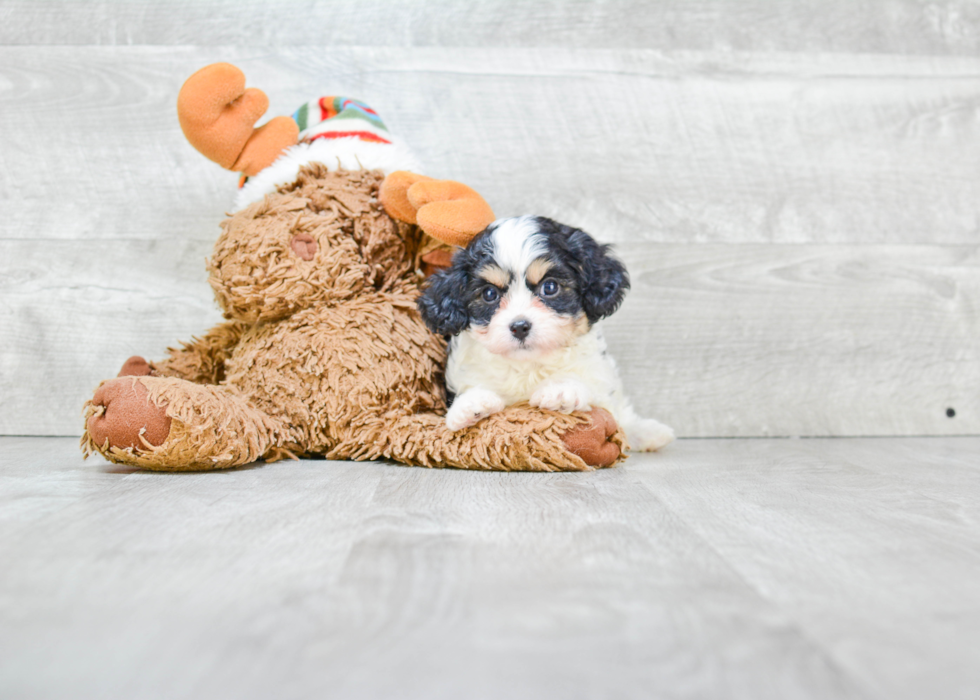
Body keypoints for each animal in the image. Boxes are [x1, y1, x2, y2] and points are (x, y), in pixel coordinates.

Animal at [414, 216, 672, 452]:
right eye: (489, 294)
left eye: (550, 287)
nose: (519, 326)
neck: (528, 364)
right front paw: (471, 404)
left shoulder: (598, 376)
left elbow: (591, 389)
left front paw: (560, 390)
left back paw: (649, 432)